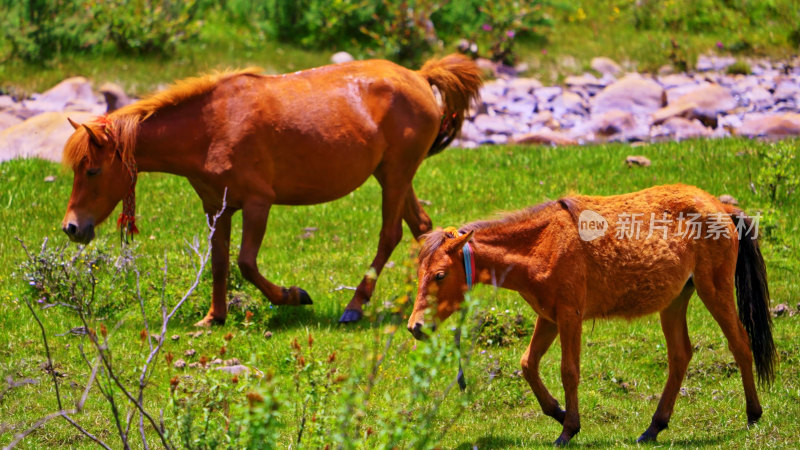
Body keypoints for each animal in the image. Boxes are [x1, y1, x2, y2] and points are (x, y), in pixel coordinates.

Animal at [61, 54, 482, 326]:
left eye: (93, 170)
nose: (72, 227)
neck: (211, 127)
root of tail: (420, 76)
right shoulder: (216, 208)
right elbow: (219, 262)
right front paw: (213, 317)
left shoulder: (257, 203)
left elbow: (246, 263)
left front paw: (292, 296)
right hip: (393, 175)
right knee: (421, 227)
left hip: (395, 175)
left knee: (390, 234)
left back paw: (355, 306)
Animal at [406, 185, 776, 444]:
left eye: (440, 275)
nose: (415, 326)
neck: (542, 242)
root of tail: (723, 208)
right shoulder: (549, 317)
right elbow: (528, 364)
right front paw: (557, 411)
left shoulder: (570, 316)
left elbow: (569, 371)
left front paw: (568, 428)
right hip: (674, 302)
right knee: (680, 356)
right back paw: (653, 427)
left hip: (714, 291)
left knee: (740, 343)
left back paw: (753, 414)